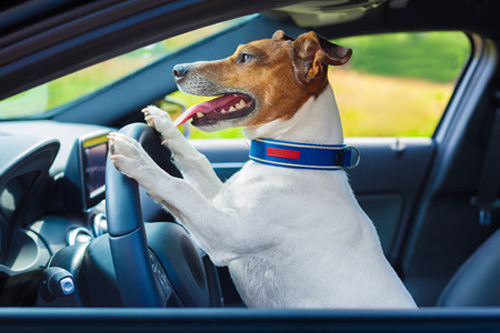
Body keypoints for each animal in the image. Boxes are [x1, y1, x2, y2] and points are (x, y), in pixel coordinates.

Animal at [109, 29, 418, 308]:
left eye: (246, 57)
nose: (176, 69)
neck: (293, 159)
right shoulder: (220, 198)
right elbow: (196, 160)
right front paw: (164, 122)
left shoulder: (225, 231)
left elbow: (178, 187)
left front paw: (137, 157)